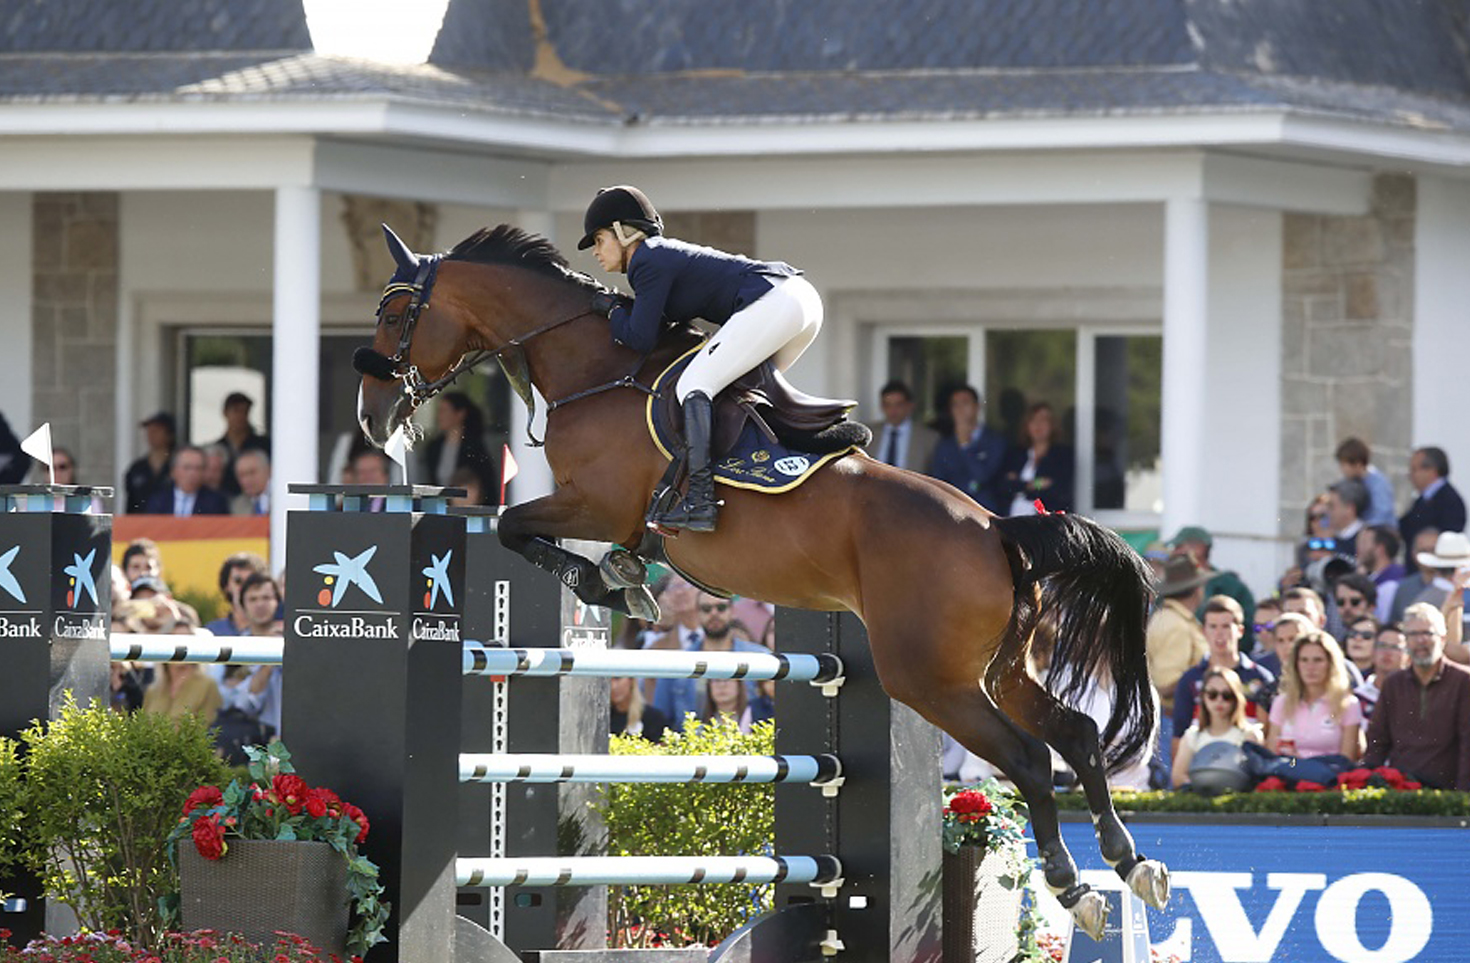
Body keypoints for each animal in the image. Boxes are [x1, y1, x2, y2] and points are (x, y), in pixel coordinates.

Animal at [355, 223, 1170, 935]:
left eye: (394, 312)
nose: (370, 419)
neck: (594, 368)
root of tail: (996, 529)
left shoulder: (595, 501)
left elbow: (510, 525)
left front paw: (603, 583)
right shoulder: (597, 508)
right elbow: (533, 531)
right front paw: (621, 575)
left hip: (930, 678)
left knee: (1031, 758)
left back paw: (1076, 888)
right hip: (997, 667)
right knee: (1079, 733)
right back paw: (1132, 865)